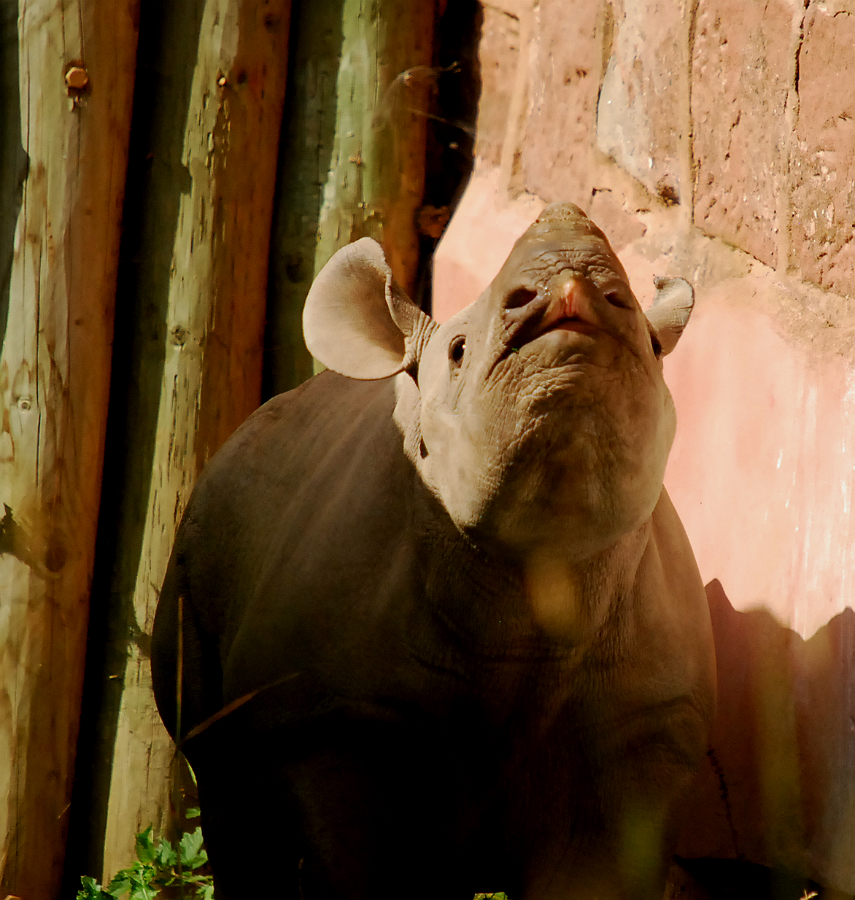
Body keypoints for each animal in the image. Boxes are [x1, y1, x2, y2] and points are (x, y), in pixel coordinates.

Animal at [151, 203, 716, 900]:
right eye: (457, 349)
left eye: (651, 342)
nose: (572, 294)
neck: (537, 567)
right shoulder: (333, 722)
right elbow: (357, 864)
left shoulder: (640, 731)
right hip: (206, 535)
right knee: (225, 780)